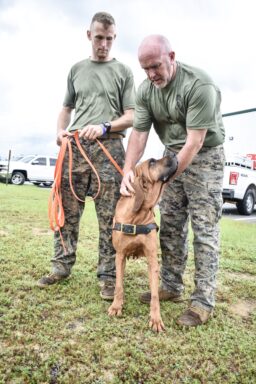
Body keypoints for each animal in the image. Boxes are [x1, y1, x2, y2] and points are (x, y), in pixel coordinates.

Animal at [108, 154, 178, 332]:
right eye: (152, 162)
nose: (174, 155)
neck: (137, 216)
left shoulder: (152, 259)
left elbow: (154, 294)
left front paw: (156, 318)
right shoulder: (120, 255)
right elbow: (119, 285)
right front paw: (116, 306)